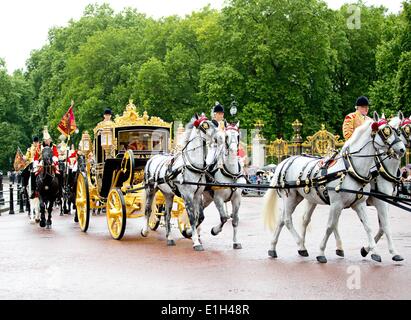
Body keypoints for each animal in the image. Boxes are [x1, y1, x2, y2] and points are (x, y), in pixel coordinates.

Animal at [142, 114, 220, 251]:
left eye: (214, 123)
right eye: (205, 125)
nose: (220, 137)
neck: (192, 165)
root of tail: (152, 158)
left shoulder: (197, 195)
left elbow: (199, 217)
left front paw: (191, 234)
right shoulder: (187, 195)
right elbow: (192, 218)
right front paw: (196, 242)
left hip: (168, 194)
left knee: (166, 215)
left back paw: (169, 238)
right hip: (150, 189)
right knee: (148, 210)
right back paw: (145, 231)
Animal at [202, 121, 246, 249]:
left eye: (238, 136)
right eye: (226, 136)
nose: (232, 150)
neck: (230, 173)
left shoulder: (237, 199)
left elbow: (235, 219)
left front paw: (235, 242)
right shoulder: (218, 199)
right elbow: (224, 218)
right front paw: (214, 230)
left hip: (207, 198)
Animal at [262, 112, 408, 262]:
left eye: (397, 131)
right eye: (386, 131)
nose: (401, 149)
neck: (351, 168)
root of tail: (285, 161)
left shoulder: (360, 203)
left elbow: (370, 226)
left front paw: (371, 251)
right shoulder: (363, 202)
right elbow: (331, 226)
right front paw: (321, 252)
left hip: (307, 198)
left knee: (291, 219)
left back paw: (279, 248)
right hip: (290, 197)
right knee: (287, 219)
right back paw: (300, 244)